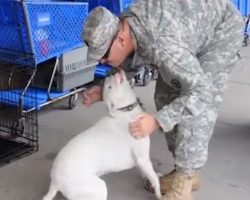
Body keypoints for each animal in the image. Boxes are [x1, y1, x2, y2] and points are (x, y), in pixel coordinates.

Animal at [42, 70, 161, 200]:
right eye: (109, 87)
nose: (110, 72)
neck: (123, 111)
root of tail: (54, 183)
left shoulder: (141, 162)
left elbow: (148, 174)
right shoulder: (143, 159)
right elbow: (154, 178)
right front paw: (159, 193)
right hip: (99, 188)